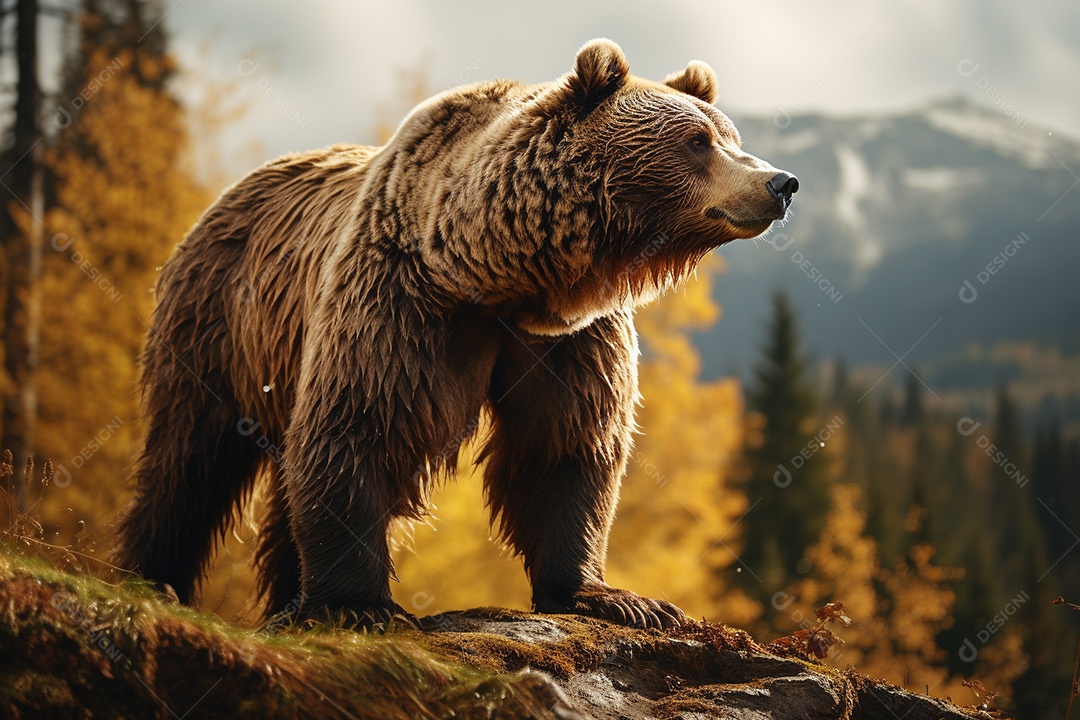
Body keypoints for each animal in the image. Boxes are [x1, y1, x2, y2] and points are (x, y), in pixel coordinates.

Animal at [115, 38, 798, 630]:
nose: (780, 183)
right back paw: (153, 578)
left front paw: (617, 599)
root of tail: (228, 195)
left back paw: (288, 599)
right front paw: (362, 605)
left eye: (731, 137)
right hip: (218, 321)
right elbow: (359, 426)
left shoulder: (566, 337)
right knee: (188, 456)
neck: (502, 274)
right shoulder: (402, 302)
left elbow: (565, 447)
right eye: (697, 141)